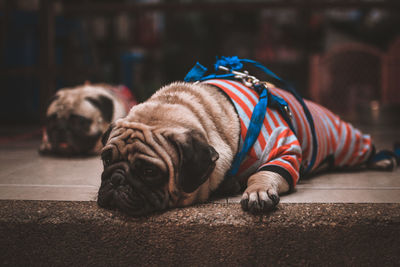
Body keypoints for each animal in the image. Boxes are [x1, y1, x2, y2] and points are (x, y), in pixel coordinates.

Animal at [97, 80, 396, 218]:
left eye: (149, 171)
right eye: (105, 160)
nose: (115, 179)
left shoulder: (283, 149)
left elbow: (263, 173)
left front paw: (257, 191)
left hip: (344, 141)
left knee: (363, 146)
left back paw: (382, 159)